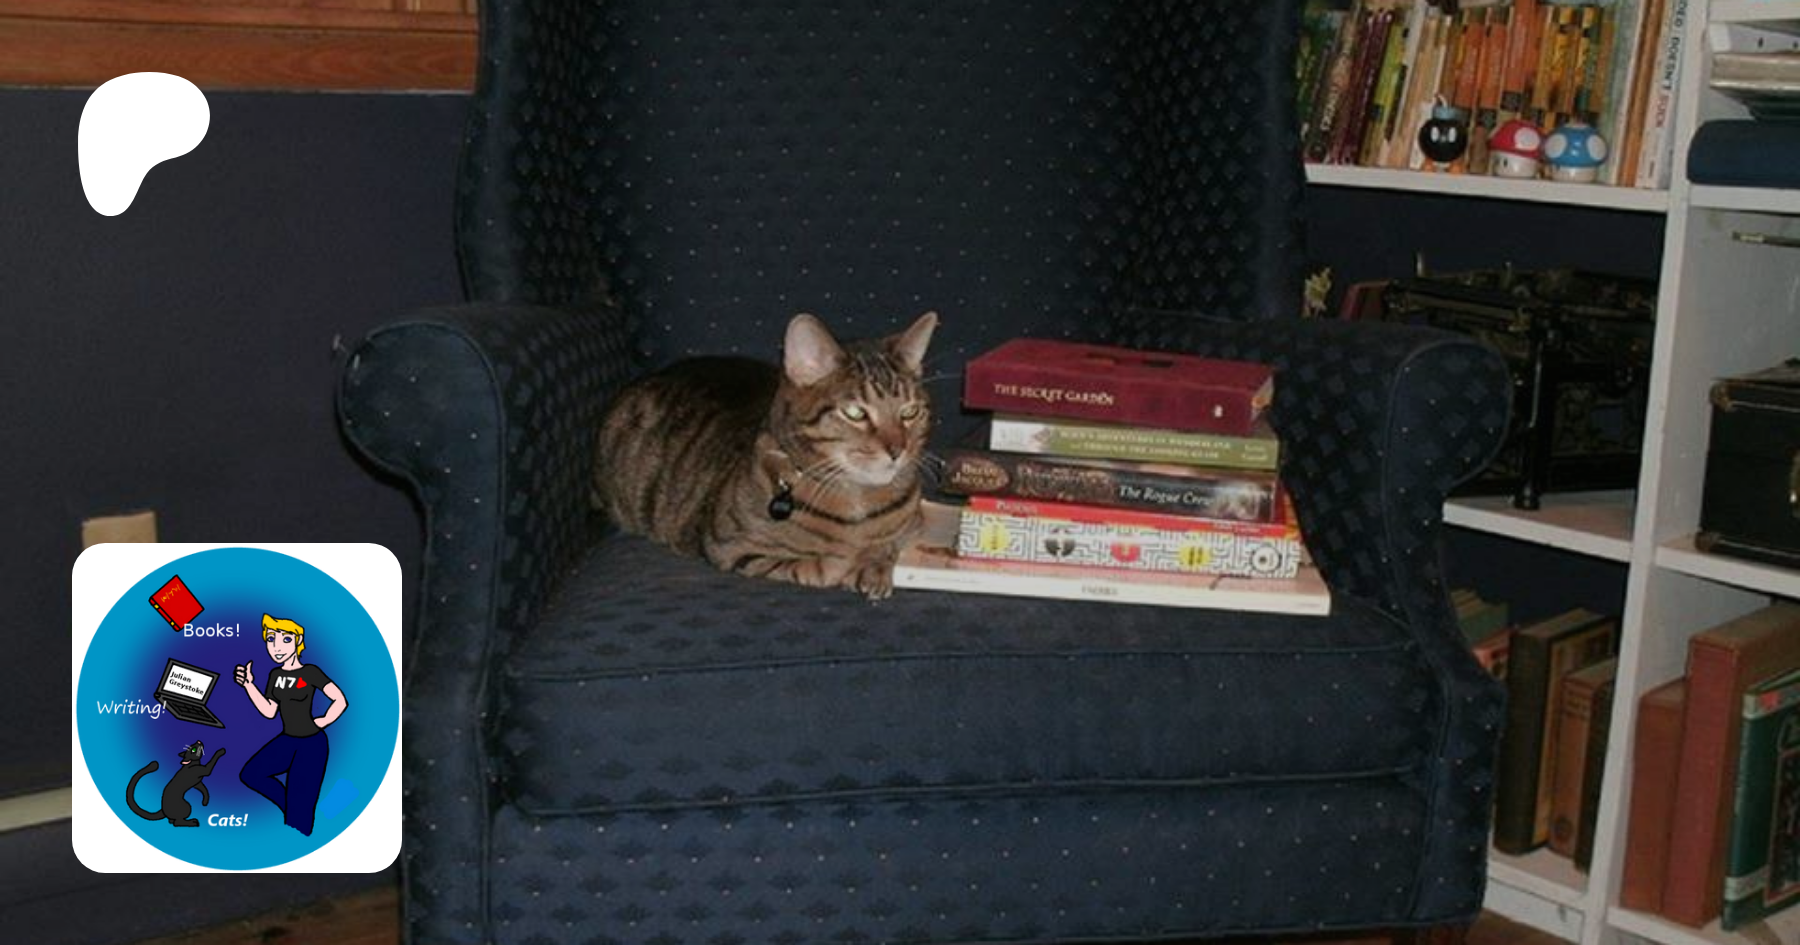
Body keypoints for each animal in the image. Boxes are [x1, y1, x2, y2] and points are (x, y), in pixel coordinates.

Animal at [594, 312, 937, 600]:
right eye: (855, 413)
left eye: (910, 412)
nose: (898, 450)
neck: (857, 500)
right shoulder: (731, 548)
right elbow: (810, 566)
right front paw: (843, 563)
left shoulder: (915, 523)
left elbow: (889, 544)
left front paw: (873, 565)